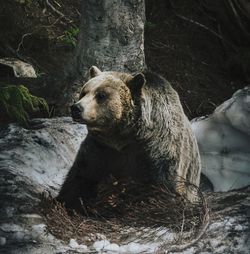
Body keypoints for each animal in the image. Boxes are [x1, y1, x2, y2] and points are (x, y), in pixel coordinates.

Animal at [58, 66, 201, 210]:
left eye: (101, 95)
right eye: (84, 92)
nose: (76, 108)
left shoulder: (158, 147)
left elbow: (162, 181)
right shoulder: (101, 148)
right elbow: (82, 175)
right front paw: (68, 201)